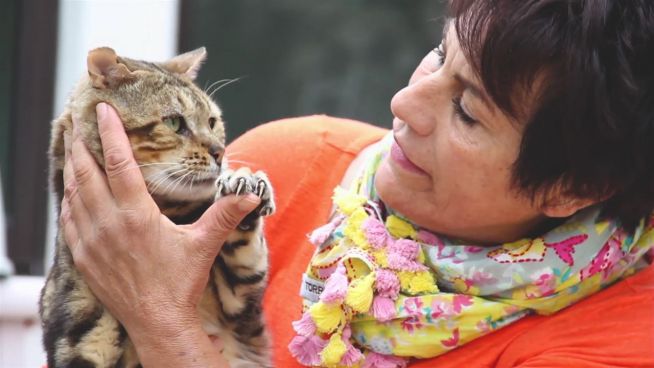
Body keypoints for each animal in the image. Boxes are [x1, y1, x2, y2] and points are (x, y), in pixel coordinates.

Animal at [39, 47, 274, 366]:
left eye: (212, 122)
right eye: (174, 122)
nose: (220, 152)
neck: (173, 216)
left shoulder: (240, 303)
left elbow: (247, 252)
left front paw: (244, 182)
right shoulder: (82, 341)